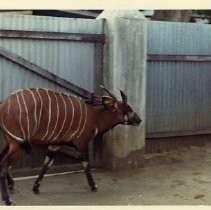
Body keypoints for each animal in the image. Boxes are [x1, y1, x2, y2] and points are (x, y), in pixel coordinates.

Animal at [0, 85, 142, 205]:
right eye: (128, 109)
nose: (139, 120)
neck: (94, 116)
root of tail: (4, 105)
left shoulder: (55, 144)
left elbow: (46, 164)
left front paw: (36, 188)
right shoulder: (82, 143)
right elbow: (86, 163)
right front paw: (94, 186)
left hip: (10, 142)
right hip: (17, 144)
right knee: (3, 165)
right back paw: (8, 200)